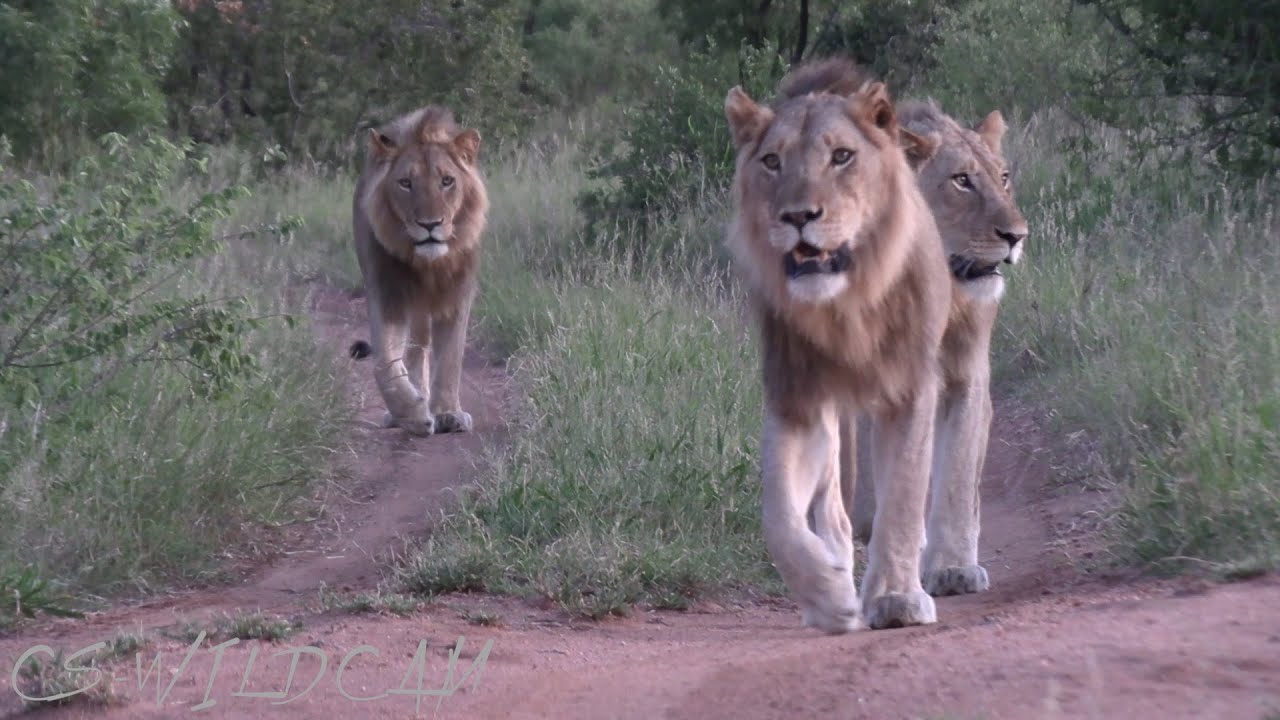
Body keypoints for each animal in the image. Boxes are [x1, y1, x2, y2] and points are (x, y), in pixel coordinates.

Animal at [347, 105, 489, 437]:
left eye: (447, 181)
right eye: (405, 183)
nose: (430, 224)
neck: (429, 266)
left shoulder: (457, 296)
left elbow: (450, 358)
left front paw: (448, 414)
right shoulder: (388, 295)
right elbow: (385, 363)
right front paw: (412, 414)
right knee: (414, 348)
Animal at [723, 58, 953, 632]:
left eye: (842, 156)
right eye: (773, 161)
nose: (798, 216)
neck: (845, 308)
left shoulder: (910, 388)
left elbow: (902, 495)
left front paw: (895, 598)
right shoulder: (797, 399)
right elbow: (778, 513)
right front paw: (828, 595)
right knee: (830, 505)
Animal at [848, 99, 1030, 598]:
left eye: (1003, 177)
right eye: (961, 180)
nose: (1017, 235)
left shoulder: (968, 375)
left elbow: (957, 473)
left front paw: (952, 569)